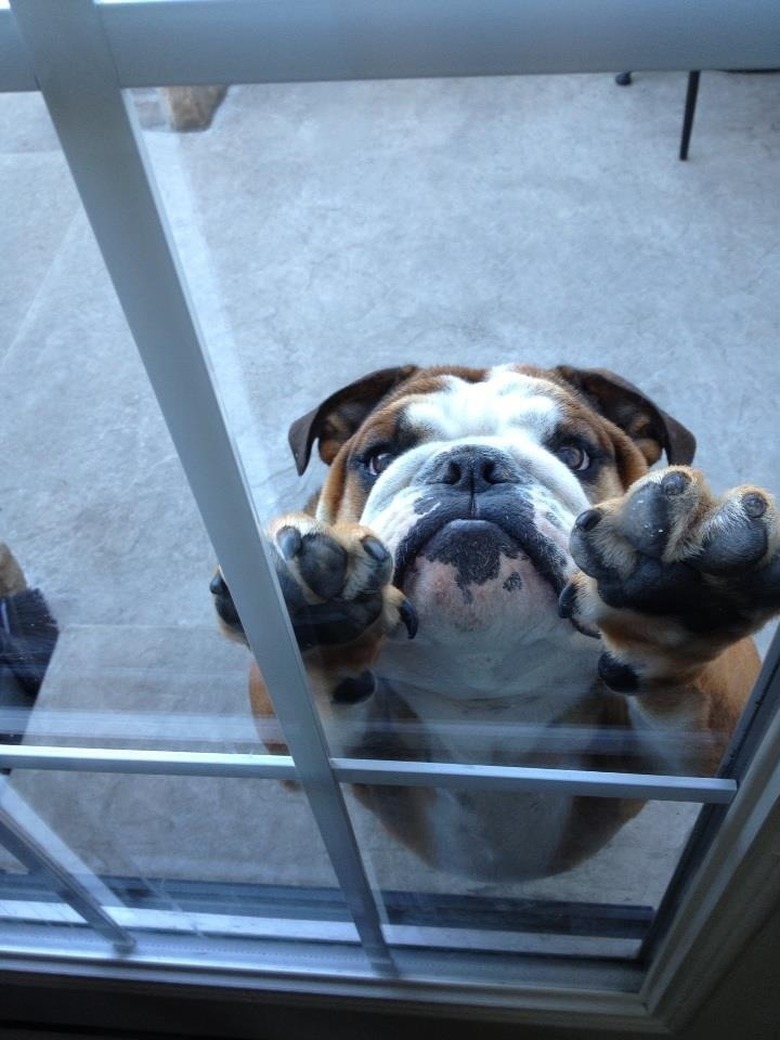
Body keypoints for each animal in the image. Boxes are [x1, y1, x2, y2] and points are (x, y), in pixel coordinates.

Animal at [209, 361, 780, 881]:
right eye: (379, 457)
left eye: (574, 453)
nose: (471, 464)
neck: (485, 680)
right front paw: (311, 609)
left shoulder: (715, 743)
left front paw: (680, 590)